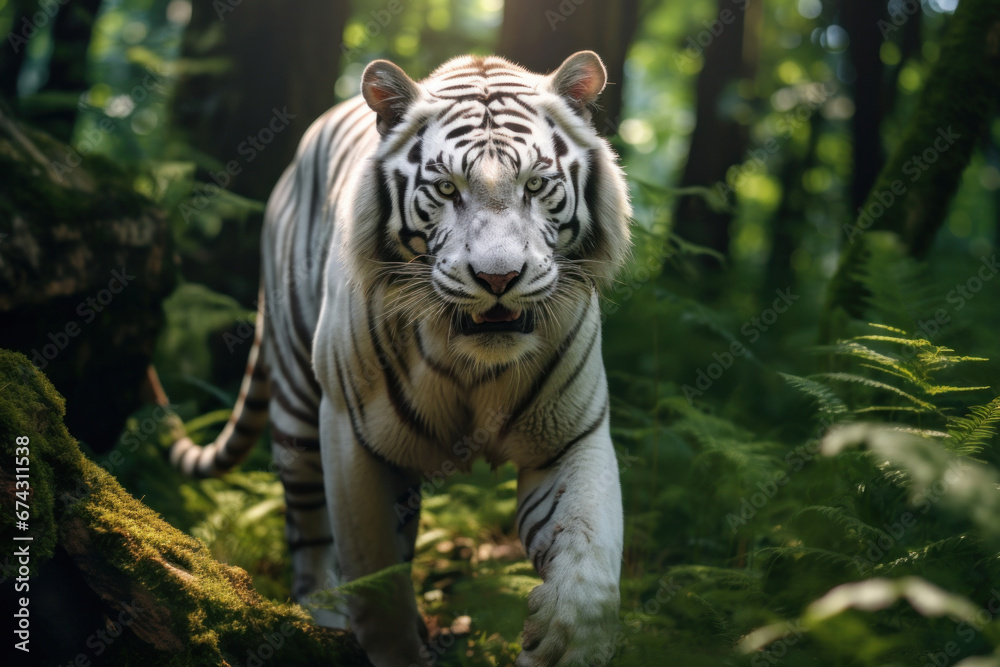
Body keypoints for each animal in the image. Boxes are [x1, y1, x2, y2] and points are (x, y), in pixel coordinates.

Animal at [168, 49, 628, 664]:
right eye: (449, 189)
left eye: (535, 184)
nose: (498, 279)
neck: (472, 363)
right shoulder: (352, 438)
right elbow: (376, 584)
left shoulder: (569, 436)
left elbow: (589, 558)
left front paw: (564, 641)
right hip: (297, 412)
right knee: (309, 539)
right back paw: (322, 618)